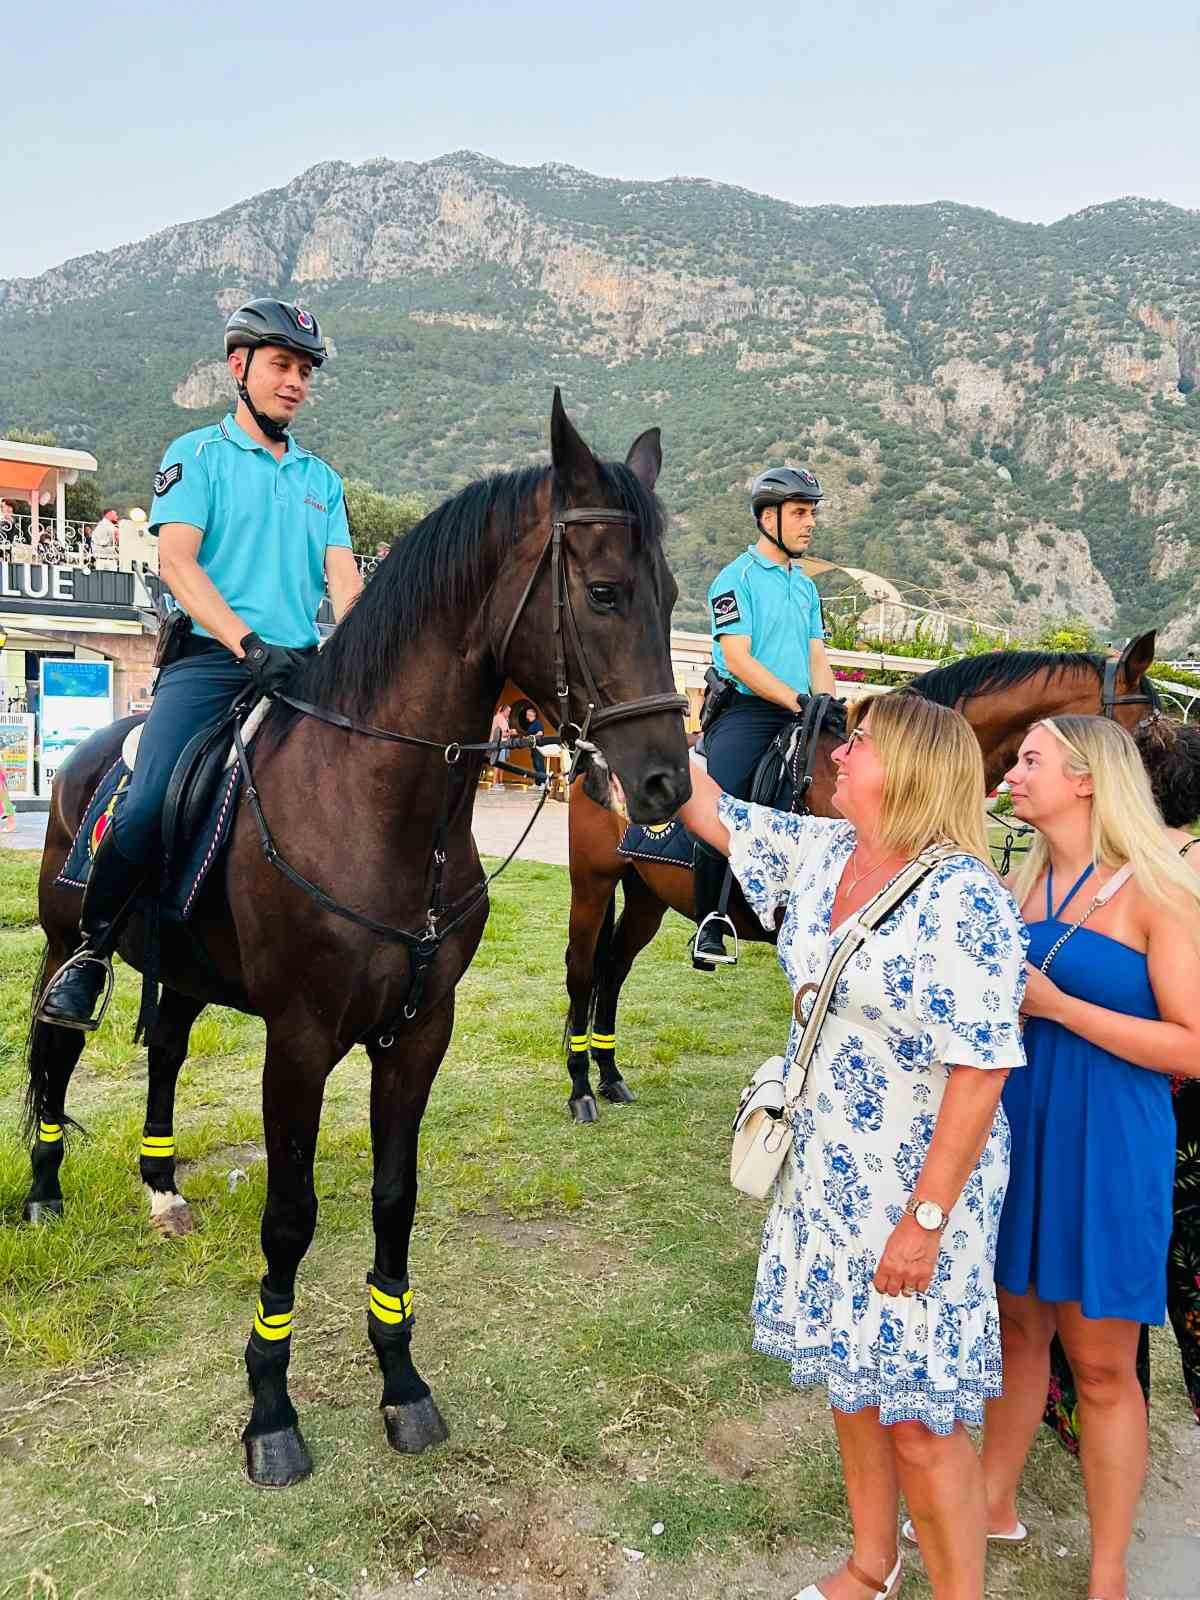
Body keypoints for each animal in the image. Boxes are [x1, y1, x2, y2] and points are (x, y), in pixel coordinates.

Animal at [18, 396, 691, 1484]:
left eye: (673, 596)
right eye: (602, 591)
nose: (669, 782)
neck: (374, 806)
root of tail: (89, 754)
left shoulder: (418, 1033)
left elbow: (392, 1197)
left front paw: (403, 1381)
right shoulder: (298, 1041)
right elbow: (291, 1215)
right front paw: (270, 1409)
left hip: (187, 971)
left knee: (164, 1051)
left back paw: (162, 1187)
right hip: (63, 944)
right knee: (54, 1049)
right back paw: (42, 1191)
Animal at [563, 630, 1164, 1120]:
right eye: (1149, 737)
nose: (1150, 838)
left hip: (647, 895)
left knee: (613, 971)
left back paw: (610, 1076)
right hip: (592, 885)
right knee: (583, 971)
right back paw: (581, 1088)